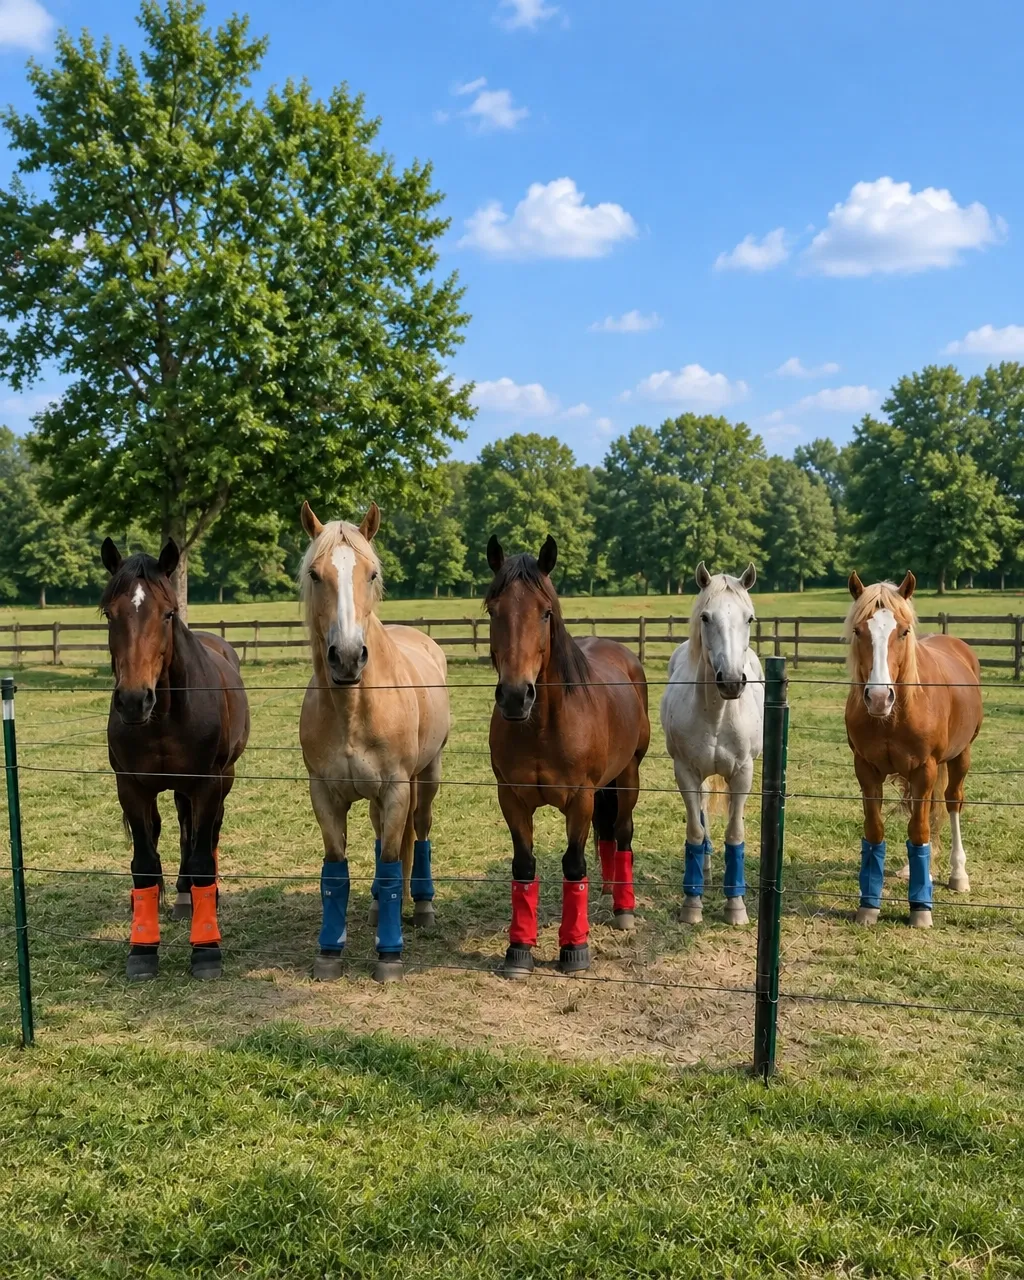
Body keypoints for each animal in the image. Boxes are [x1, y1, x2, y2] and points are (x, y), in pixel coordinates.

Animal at [100, 537, 250, 980]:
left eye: (167, 613)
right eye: (109, 613)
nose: (134, 700)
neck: (164, 714)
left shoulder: (206, 784)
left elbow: (201, 856)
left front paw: (206, 950)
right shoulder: (131, 787)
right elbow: (145, 861)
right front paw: (142, 951)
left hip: (221, 778)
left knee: (206, 834)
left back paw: (200, 898)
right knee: (179, 828)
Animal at [298, 501, 450, 982]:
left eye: (371, 572)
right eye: (315, 574)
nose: (347, 657)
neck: (353, 709)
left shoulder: (398, 788)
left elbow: (390, 864)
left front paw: (390, 955)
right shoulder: (324, 793)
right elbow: (336, 871)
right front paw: (329, 951)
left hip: (427, 778)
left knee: (419, 833)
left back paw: (421, 908)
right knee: (387, 837)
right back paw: (380, 909)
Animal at [485, 534, 650, 979]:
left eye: (545, 613)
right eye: (493, 610)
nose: (515, 695)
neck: (542, 726)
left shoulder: (580, 799)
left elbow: (574, 865)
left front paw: (575, 949)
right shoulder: (511, 798)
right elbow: (524, 866)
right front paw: (519, 949)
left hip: (628, 775)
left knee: (623, 832)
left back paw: (623, 908)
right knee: (607, 835)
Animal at [660, 562, 763, 926]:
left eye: (749, 618)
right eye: (706, 617)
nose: (731, 681)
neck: (718, 714)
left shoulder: (743, 774)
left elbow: (735, 834)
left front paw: (736, 906)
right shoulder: (685, 773)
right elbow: (694, 831)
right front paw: (692, 904)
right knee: (703, 816)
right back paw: (703, 869)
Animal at [845, 571, 983, 928]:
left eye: (903, 631)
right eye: (858, 631)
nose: (879, 698)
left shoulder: (925, 768)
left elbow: (919, 831)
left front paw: (921, 909)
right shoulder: (866, 769)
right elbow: (875, 830)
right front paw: (869, 906)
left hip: (960, 757)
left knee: (952, 803)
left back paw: (957, 875)